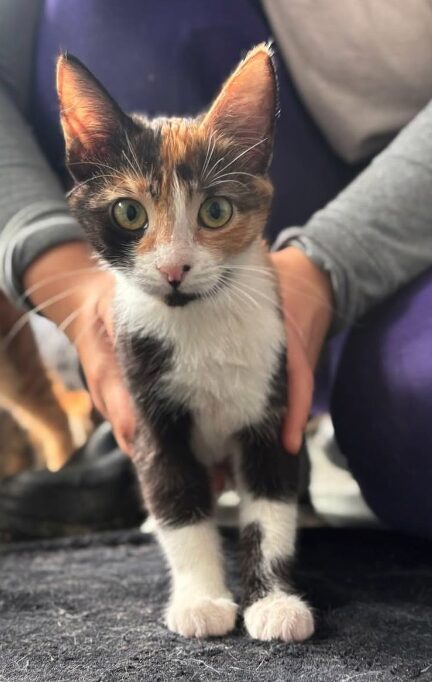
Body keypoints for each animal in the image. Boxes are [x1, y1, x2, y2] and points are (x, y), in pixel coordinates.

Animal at [56, 45, 314, 640]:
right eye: (128, 212)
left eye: (215, 211)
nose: (175, 269)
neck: (199, 321)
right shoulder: (146, 412)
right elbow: (176, 499)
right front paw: (201, 599)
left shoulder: (273, 401)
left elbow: (271, 504)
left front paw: (274, 602)